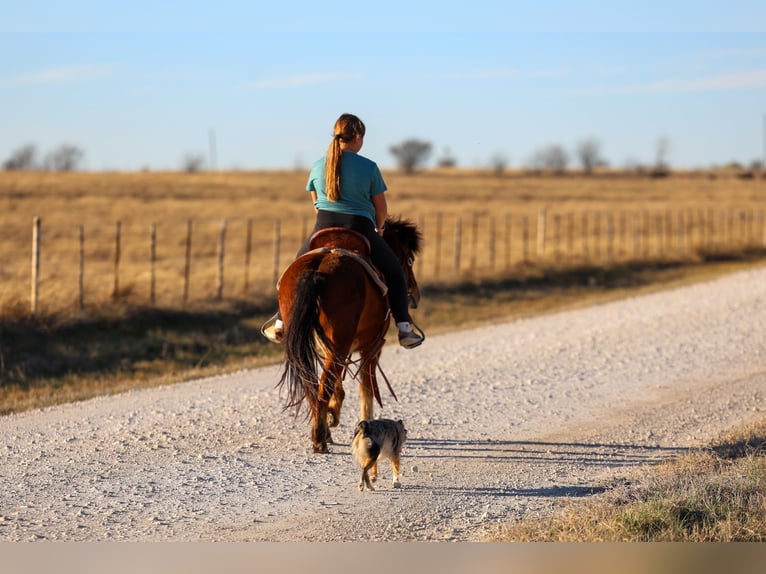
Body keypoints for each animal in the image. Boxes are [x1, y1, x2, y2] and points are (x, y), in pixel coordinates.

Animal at [276, 216, 422, 453]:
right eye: (409, 260)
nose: (415, 295)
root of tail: (318, 272)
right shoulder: (372, 347)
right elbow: (367, 387)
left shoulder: (327, 347)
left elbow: (339, 385)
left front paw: (332, 416)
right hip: (342, 343)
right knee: (323, 387)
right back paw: (319, 439)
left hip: (320, 345)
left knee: (313, 387)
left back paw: (322, 430)